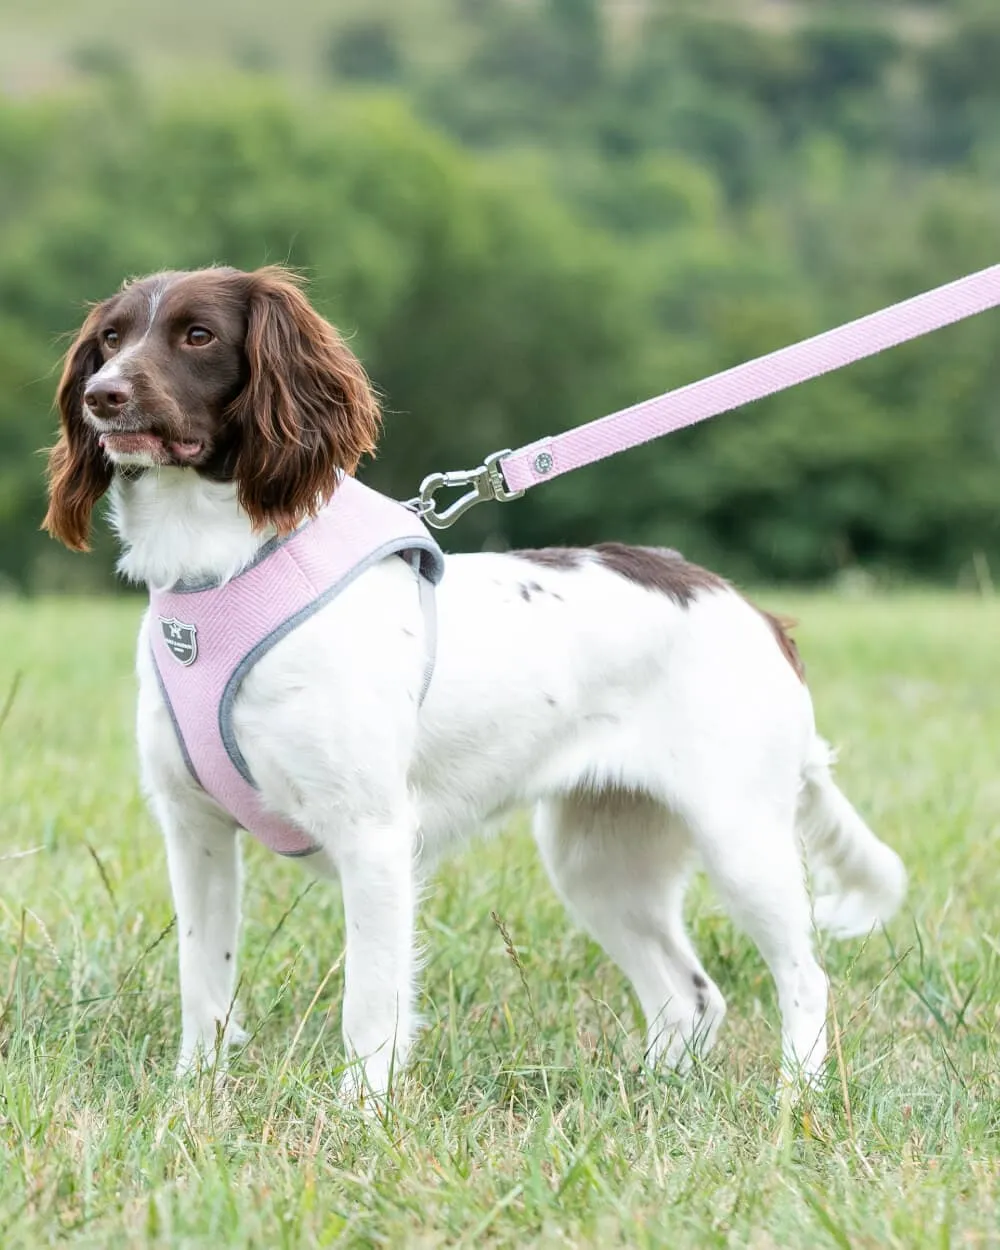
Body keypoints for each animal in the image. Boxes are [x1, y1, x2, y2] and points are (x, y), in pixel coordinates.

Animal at [46, 263, 905, 1095]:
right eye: (110, 340)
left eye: (198, 335)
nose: (102, 396)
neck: (220, 574)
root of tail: (757, 613)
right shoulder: (194, 829)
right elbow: (204, 984)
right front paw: (194, 1096)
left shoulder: (373, 835)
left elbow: (370, 1008)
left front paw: (362, 1116)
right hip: (598, 859)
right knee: (691, 996)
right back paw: (653, 1093)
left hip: (740, 835)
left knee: (803, 977)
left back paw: (795, 1096)